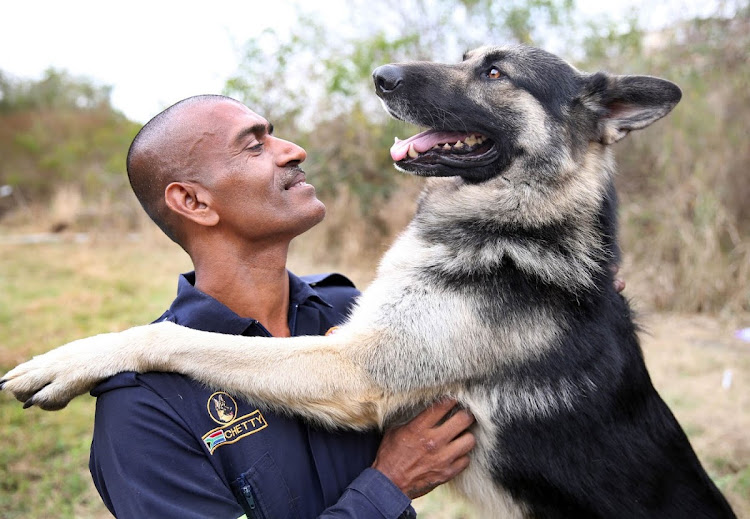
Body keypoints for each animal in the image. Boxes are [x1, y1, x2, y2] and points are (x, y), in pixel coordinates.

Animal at [1, 46, 740, 516]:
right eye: (470, 55)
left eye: (495, 71)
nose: (381, 76)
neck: (518, 227)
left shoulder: (351, 368)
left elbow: (185, 339)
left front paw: (71, 359)